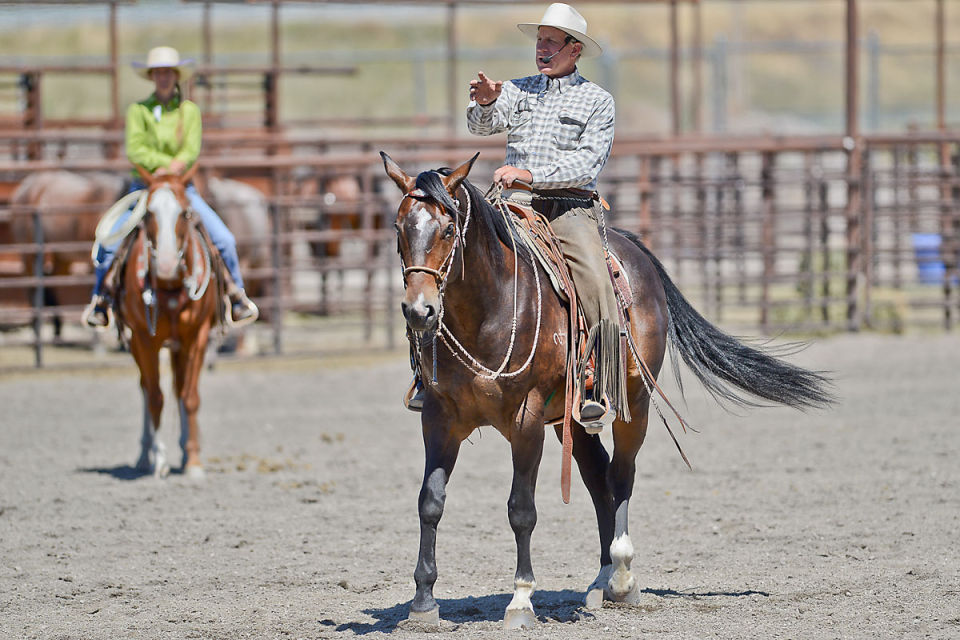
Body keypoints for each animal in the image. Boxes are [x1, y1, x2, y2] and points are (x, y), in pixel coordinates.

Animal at [112, 166, 219, 480]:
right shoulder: (145, 340)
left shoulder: (198, 336)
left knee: (179, 387)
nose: (167, 266)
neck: (171, 288)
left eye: (185, 213)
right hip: (138, 344)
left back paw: (184, 449)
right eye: (148, 213)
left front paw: (193, 461)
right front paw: (158, 460)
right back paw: (144, 456)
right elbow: (156, 398)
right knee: (146, 389)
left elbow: (189, 396)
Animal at [378, 154, 828, 632]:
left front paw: (521, 600)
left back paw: (623, 577)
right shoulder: (439, 418)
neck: (487, 313)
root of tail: (634, 250)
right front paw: (423, 602)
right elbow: (430, 503)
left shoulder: (526, 420)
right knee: (599, 478)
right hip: (573, 418)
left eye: (448, 230)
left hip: (635, 403)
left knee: (622, 474)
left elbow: (521, 509)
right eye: (398, 228)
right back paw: (600, 580)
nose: (420, 311)